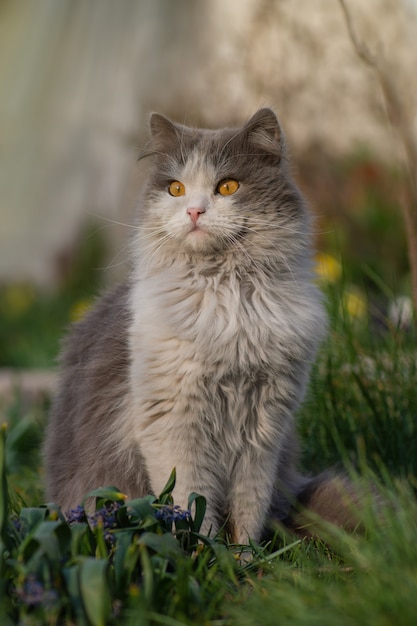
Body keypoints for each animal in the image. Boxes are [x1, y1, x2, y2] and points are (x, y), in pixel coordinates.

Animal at [42, 108, 354, 540]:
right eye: (175, 189)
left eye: (228, 186)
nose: (194, 211)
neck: (226, 295)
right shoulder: (174, 425)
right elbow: (191, 504)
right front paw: (202, 550)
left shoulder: (265, 427)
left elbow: (248, 509)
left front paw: (244, 554)